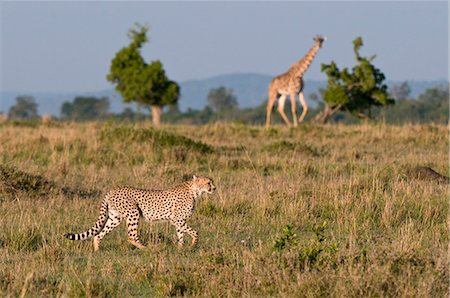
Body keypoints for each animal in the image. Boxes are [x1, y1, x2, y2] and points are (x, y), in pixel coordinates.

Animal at [64, 176, 217, 250]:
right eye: (208, 183)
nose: (214, 188)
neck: (195, 190)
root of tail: (112, 190)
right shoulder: (177, 219)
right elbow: (195, 232)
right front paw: (192, 245)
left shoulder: (179, 221)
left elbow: (181, 235)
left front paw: (181, 249)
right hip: (134, 213)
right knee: (131, 236)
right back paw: (146, 248)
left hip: (114, 217)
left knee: (98, 234)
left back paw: (97, 250)